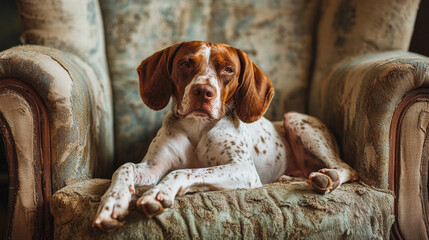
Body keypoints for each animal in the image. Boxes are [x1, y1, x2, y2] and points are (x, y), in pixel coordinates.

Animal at [93, 40, 358, 231]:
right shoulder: (154, 166)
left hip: (295, 119)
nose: (203, 91)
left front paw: (159, 193)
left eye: (228, 69)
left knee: (347, 168)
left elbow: (182, 171)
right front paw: (112, 204)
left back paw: (328, 177)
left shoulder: (243, 169)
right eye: (186, 63)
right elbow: (125, 167)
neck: (198, 127)